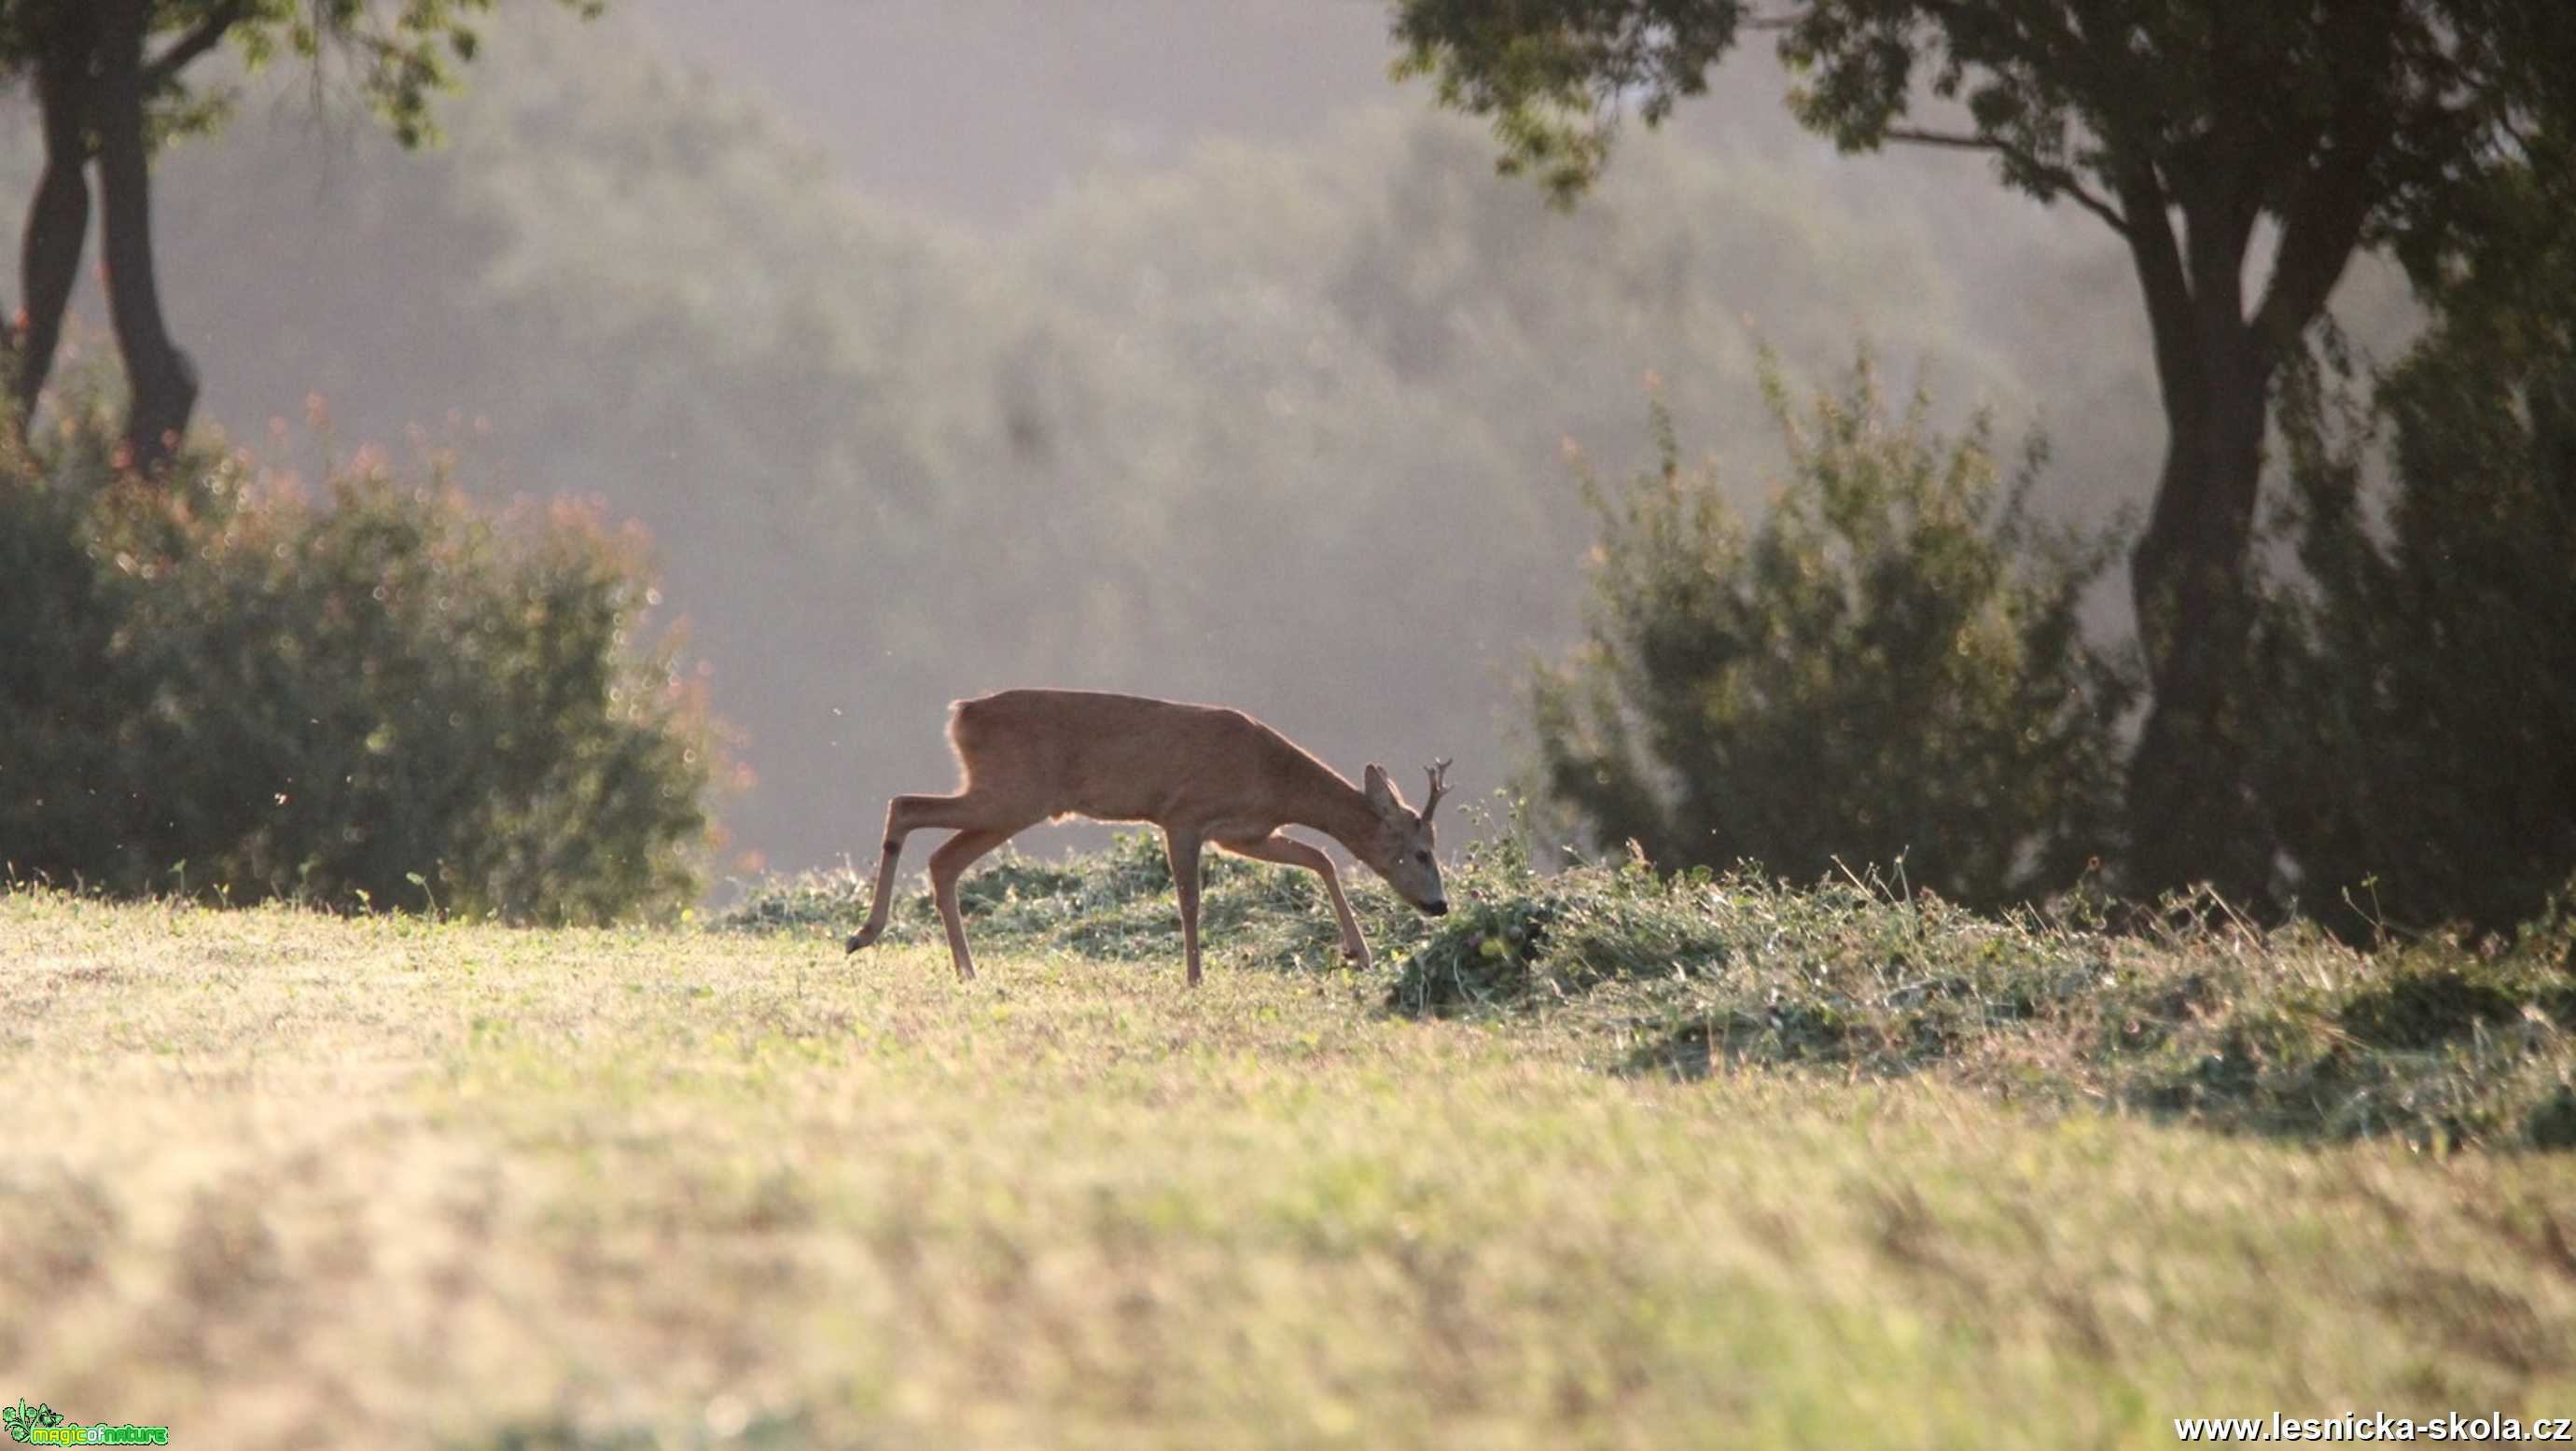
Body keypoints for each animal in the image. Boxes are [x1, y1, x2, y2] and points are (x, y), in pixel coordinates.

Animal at [844, 691, 1453, 989]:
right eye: (1421, 852)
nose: (1440, 905)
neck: (1271, 778)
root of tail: (961, 715)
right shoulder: (1183, 815)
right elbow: (1190, 901)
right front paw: (1195, 978)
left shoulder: (1245, 833)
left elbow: (1321, 855)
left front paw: (1359, 953)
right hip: (1010, 794)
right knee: (906, 807)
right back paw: (863, 934)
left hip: (1012, 803)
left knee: (943, 860)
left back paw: (964, 969)